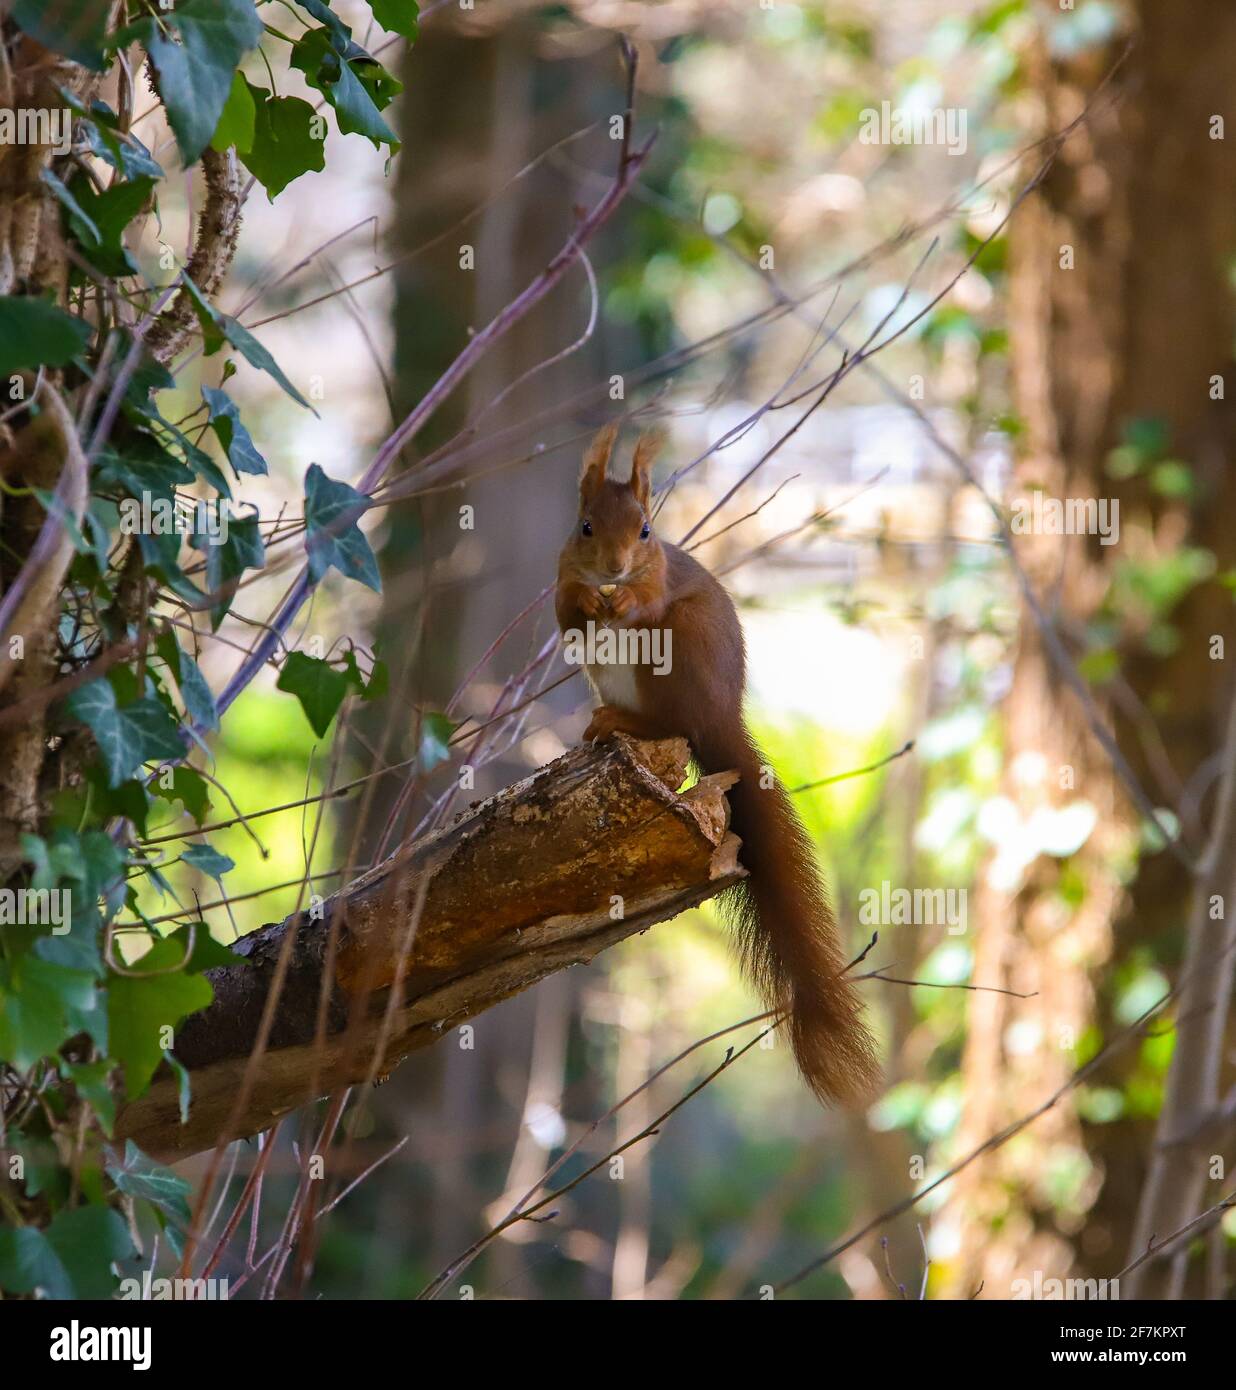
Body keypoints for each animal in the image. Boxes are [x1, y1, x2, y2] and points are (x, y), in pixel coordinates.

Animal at [553, 422, 884, 1106]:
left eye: (646, 530)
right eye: (585, 527)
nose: (615, 570)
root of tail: (723, 718)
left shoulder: (658, 584)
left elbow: (644, 602)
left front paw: (620, 603)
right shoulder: (561, 577)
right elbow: (565, 608)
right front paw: (588, 601)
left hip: (679, 651)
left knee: (675, 725)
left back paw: (624, 722)